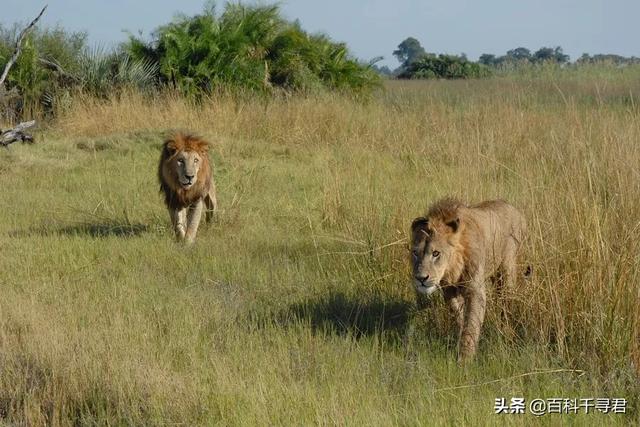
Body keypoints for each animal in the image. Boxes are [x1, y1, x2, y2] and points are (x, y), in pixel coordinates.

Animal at [412, 199, 528, 362]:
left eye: (436, 253)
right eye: (415, 253)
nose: (421, 278)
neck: (453, 266)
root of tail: (515, 210)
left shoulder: (475, 290)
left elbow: (471, 323)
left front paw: (465, 358)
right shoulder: (449, 290)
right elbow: (459, 318)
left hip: (508, 269)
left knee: (507, 303)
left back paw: (506, 331)